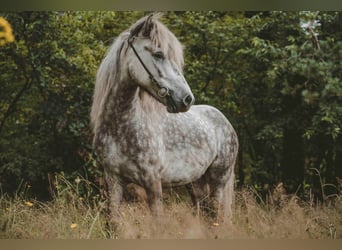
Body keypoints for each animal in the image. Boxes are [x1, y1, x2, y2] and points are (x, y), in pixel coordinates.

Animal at [90, 13, 238, 223]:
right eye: (158, 54)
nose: (187, 99)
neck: (121, 128)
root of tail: (225, 122)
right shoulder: (114, 181)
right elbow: (114, 222)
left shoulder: (153, 182)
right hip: (195, 184)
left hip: (219, 180)